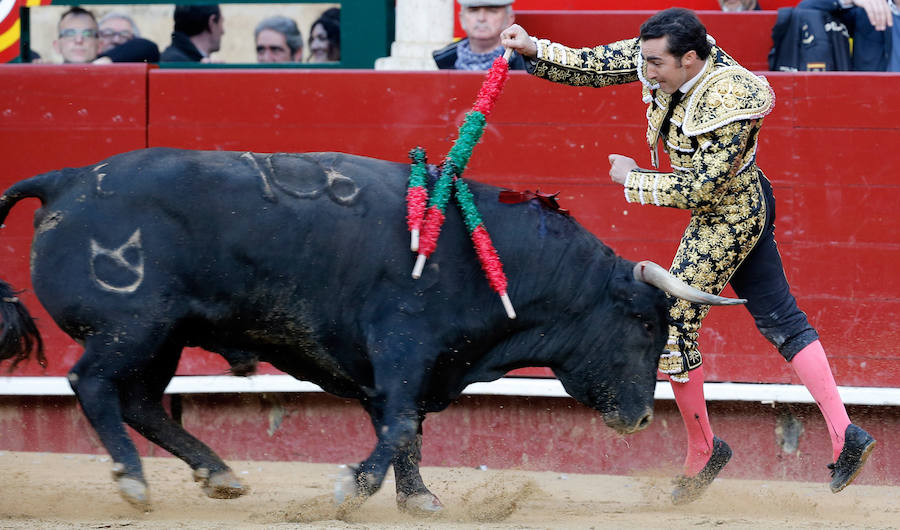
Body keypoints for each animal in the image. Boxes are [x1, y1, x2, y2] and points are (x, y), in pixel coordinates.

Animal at [0, 148, 744, 512]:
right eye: (645, 323)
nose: (641, 418)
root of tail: (68, 179)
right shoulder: (403, 347)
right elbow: (400, 423)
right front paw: (352, 489)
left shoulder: (400, 367)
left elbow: (403, 425)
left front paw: (417, 498)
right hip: (132, 325)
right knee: (93, 384)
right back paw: (133, 481)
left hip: (165, 335)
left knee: (141, 401)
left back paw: (220, 476)